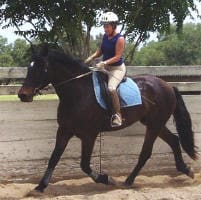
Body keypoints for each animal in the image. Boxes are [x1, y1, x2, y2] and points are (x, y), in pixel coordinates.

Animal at [18, 45, 197, 192]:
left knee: (146, 152)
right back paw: (187, 170)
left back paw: (128, 181)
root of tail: (168, 86)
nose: (23, 95)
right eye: (29, 67)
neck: (78, 92)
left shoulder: (89, 135)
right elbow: (53, 158)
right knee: (174, 141)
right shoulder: (64, 131)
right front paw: (40, 187)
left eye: (42, 68)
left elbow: (84, 165)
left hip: (154, 125)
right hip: (154, 123)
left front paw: (106, 178)